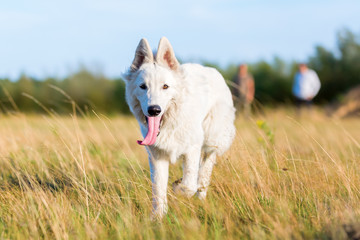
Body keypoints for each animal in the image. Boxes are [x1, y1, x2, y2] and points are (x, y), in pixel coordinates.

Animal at [124, 37, 236, 218]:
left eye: (165, 86)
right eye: (143, 86)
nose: (154, 110)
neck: (170, 123)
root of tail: (212, 70)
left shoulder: (192, 149)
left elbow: (188, 186)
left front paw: (178, 187)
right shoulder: (157, 156)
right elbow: (159, 189)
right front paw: (158, 218)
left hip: (212, 138)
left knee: (205, 167)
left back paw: (200, 195)